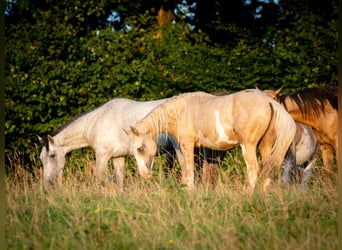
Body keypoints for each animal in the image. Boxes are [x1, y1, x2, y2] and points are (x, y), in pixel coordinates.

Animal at [38, 96, 183, 188]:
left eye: (52, 155)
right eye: (41, 158)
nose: (47, 184)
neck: (96, 121)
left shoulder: (102, 156)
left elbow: (98, 180)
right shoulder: (118, 157)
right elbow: (120, 182)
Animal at [128, 89, 296, 189]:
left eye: (140, 148)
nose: (145, 174)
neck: (180, 111)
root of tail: (269, 101)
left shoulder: (187, 146)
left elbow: (189, 172)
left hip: (248, 146)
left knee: (253, 169)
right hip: (265, 145)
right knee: (269, 169)